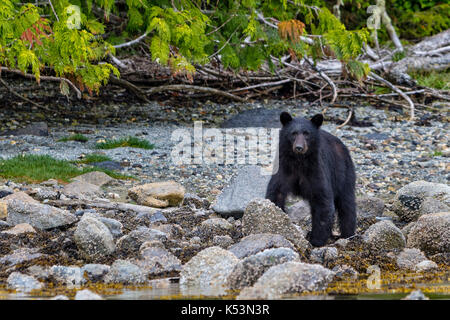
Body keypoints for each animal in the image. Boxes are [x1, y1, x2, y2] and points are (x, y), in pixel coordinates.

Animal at [266, 111, 356, 246]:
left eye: (307, 133)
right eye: (293, 133)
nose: (299, 147)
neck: (299, 162)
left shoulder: (316, 170)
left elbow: (323, 201)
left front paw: (317, 240)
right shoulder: (283, 167)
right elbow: (276, 193)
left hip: (343, 172)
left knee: (346, 203)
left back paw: (348, 234)